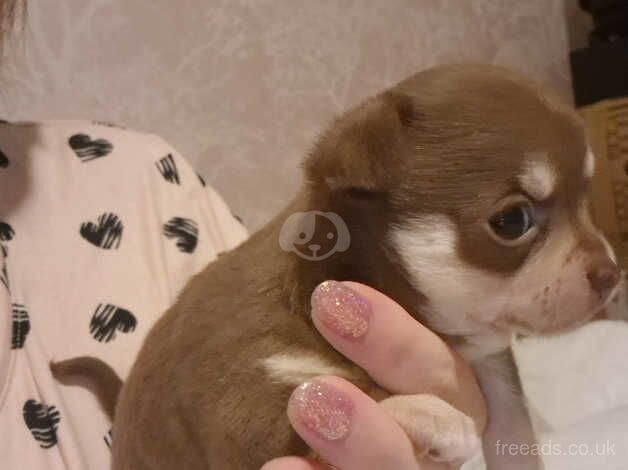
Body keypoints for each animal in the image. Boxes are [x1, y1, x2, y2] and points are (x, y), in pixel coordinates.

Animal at [52, 65, 620, 470]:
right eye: (512, 221)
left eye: (586, 198)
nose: (613, 273)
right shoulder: (239, 405)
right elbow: (312, 398)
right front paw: (428, 412)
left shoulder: (492, 367)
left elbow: (513, 427)